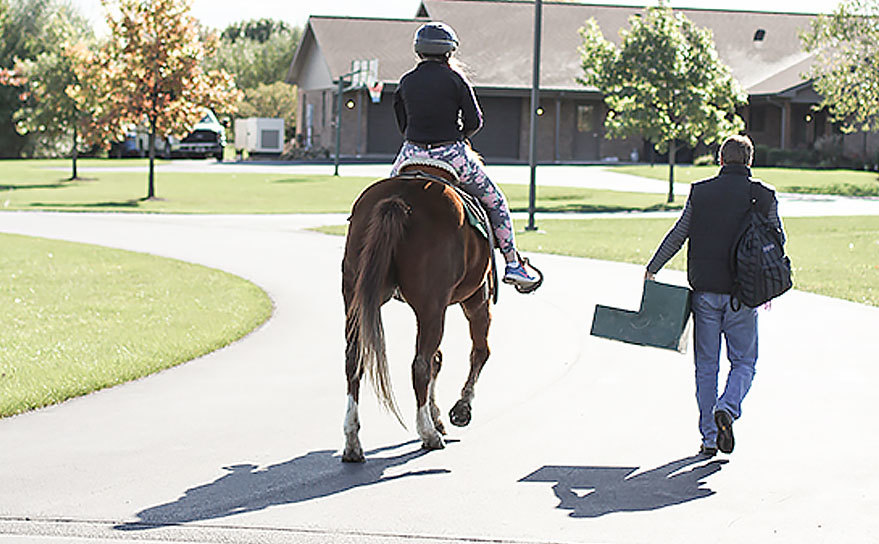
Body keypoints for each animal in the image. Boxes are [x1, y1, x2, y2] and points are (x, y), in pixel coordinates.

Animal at [341, 161, 495, 463]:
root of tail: (398, 199)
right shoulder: (476, 298)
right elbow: (479, 352)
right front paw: (460, 409)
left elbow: (440, 358)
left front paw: (439, 415)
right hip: (433, 306)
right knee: (420, 365)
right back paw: (428, 434)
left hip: (355, 298)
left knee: (354, 360)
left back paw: (353, 441)